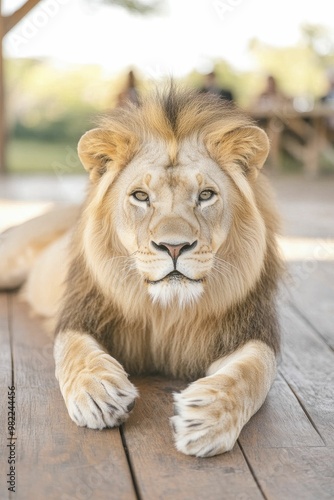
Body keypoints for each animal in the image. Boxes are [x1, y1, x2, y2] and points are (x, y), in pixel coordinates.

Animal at [0, 87, 282, 458]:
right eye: (140, 196)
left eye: (206, 195)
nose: (174, 247)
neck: (167, 309)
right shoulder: (81, 314)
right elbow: (75, 352)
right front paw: (98, 394)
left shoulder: (251, 329)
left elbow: (253, 371)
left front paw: (207, 417)